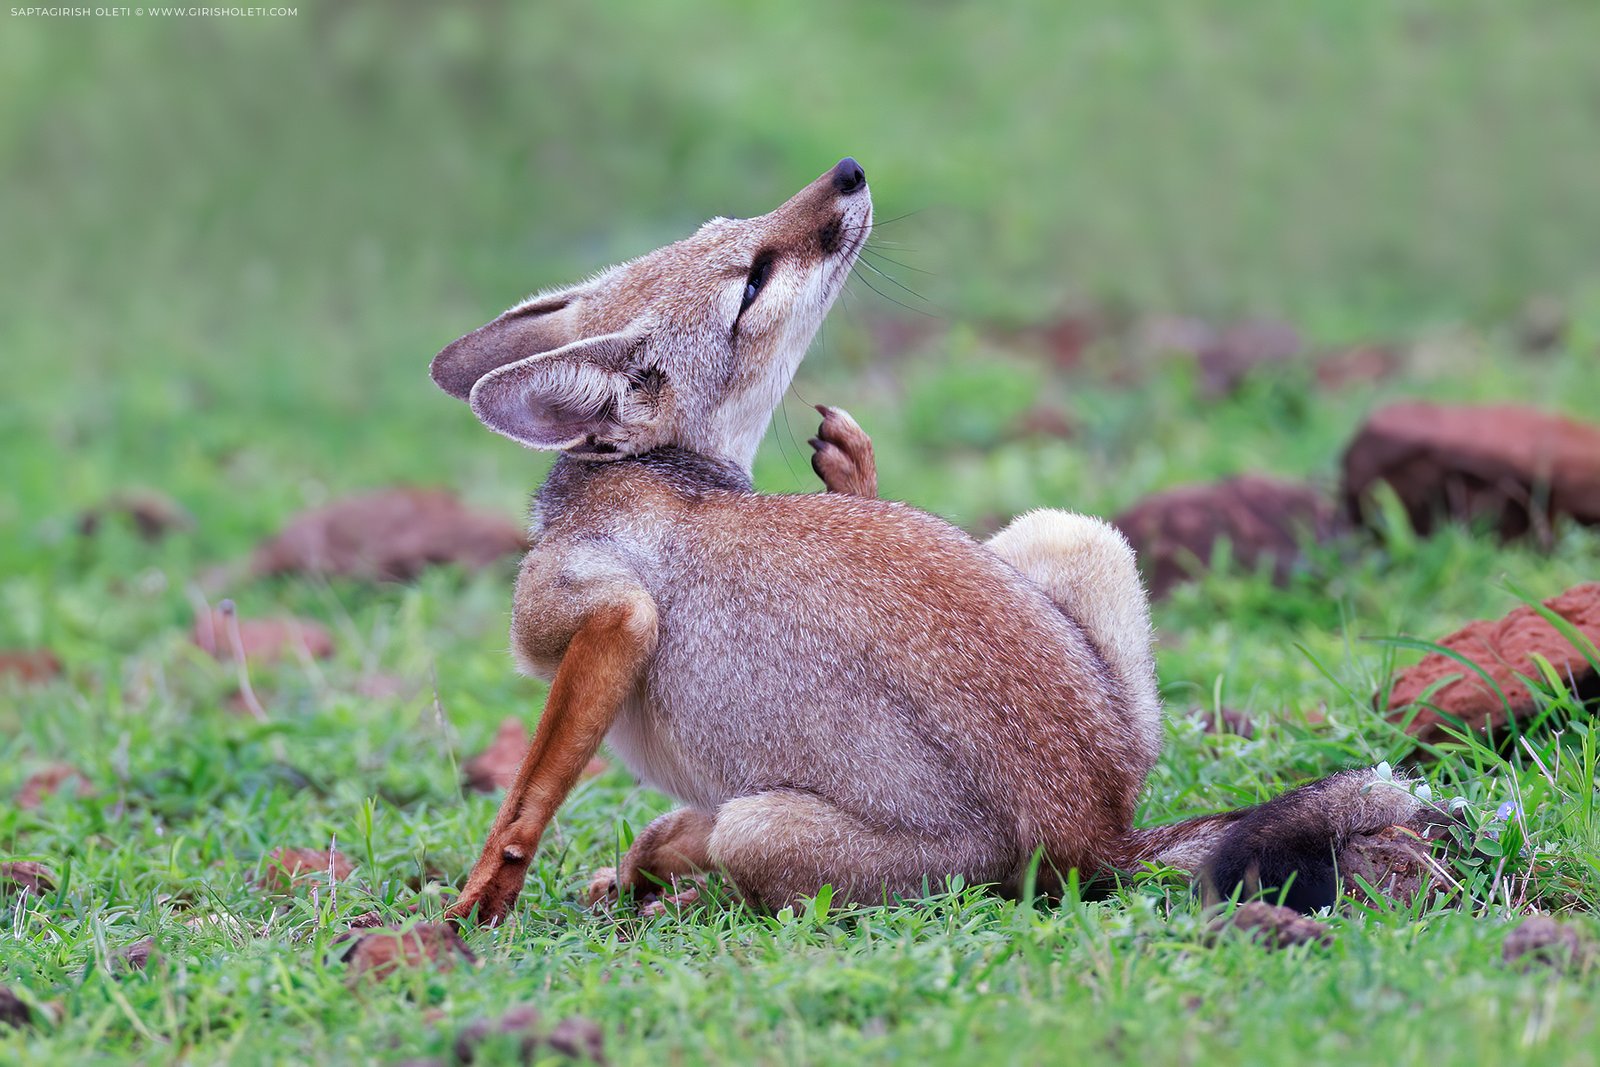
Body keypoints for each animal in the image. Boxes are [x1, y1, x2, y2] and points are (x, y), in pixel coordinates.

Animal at [430, 157, 1432, 925]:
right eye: (750, 277)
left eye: (739, 244)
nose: (847, 171)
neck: (644, 474)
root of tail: (1101, 835)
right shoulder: (609, 619)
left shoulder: (612, 619)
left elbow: (523, 803)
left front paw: (479, 902)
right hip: (1069, 535)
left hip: (755, 821)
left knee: (699, 843)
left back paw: (657, 866)